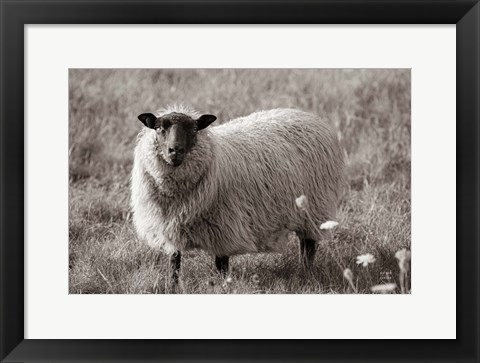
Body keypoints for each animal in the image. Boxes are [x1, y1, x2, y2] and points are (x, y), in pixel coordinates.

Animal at [129, 104, 344, 282]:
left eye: (194, 129)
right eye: (159, 128)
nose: (175, 151)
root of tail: (306, 115)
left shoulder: (224, 228)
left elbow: (221, 266)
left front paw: (223, 286)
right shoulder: (168, 230)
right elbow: (174, 264)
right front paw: (172, 286)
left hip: (315, 207)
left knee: (308, 246)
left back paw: (306, 272)